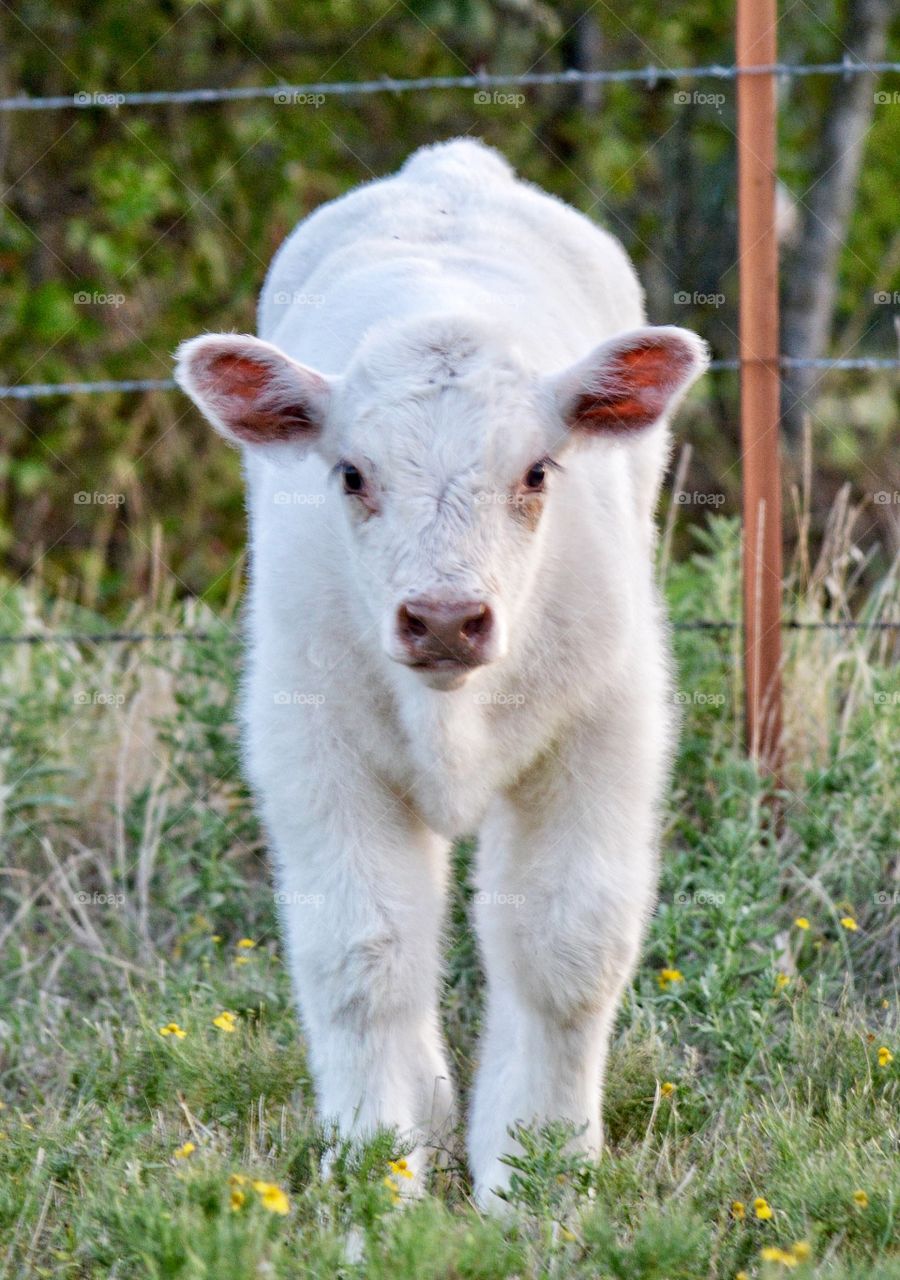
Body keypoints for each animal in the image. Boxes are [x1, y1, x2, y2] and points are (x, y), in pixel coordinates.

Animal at [176, 140, 706, 1208]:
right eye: (350, 474)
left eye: (539, 472)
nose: (447, 619)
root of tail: (453, 167)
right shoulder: (310, 746)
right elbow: (364, 954)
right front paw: (380, 1169)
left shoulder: (605, 731)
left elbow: (565, 947)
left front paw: (538, 1175)